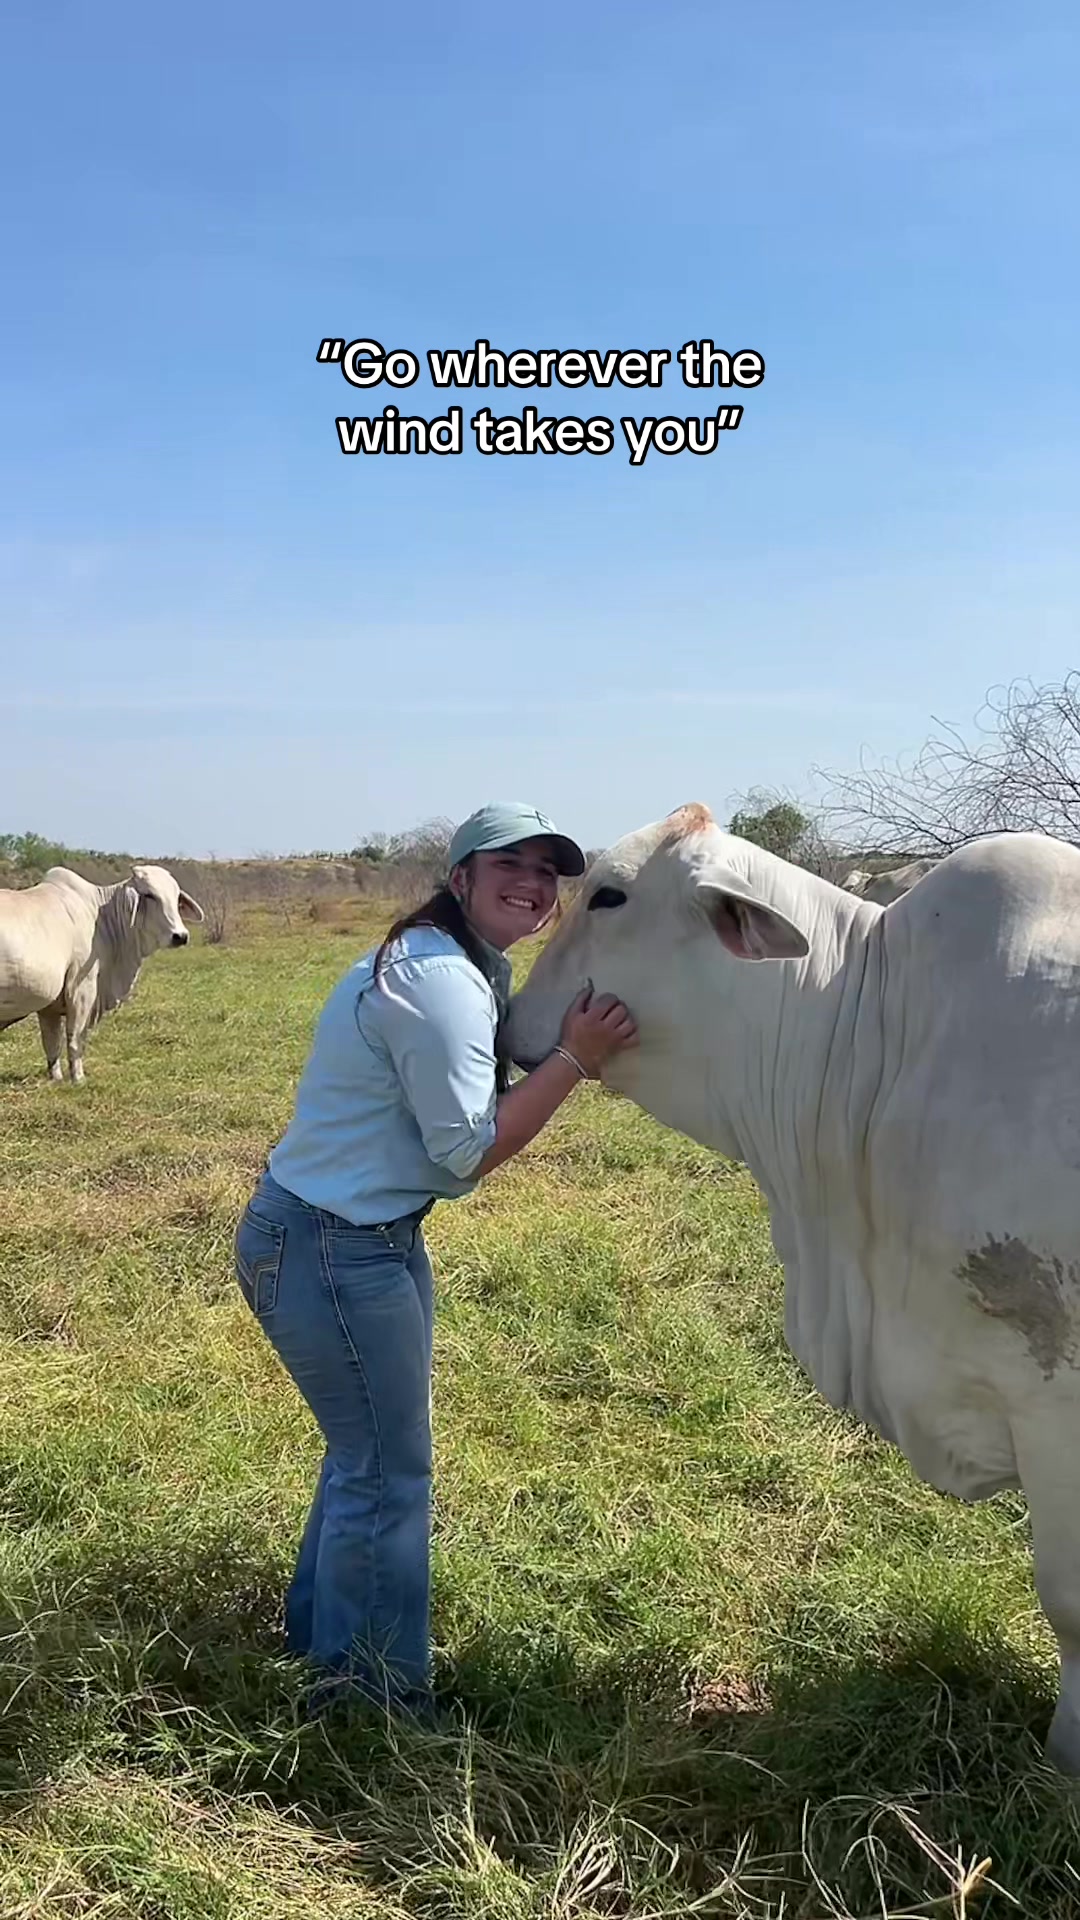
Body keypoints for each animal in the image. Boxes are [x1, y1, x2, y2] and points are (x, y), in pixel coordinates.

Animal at [0, 865, 204, 1083]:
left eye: (176, 896)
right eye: (150, 895)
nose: (180, 936)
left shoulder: (49, 1006)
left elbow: (52, 1044)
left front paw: (56, 1079)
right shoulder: (81, 991)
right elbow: (75, 1039)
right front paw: (79, 1079)